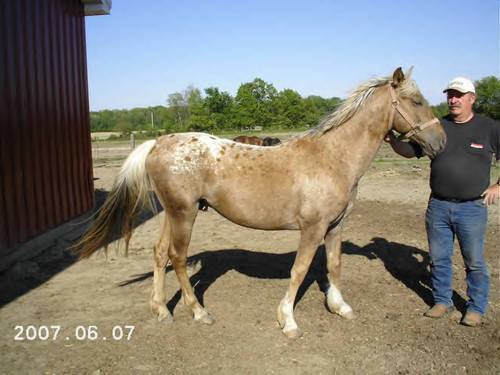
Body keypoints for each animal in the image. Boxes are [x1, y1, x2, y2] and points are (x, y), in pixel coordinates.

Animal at [77, 68, 446, 340]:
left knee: (159, 254)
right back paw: (198, 312)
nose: (441, 142)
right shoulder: (312, 229)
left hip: (174, 212)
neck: (331, 157)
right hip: (184, 214)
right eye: (415, 100)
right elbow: (299, 271)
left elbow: (335, 265)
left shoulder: (335, 226)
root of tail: (158, 142)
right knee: (177, 258)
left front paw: (340, 307)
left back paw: (162, 310)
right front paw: (289, 322)